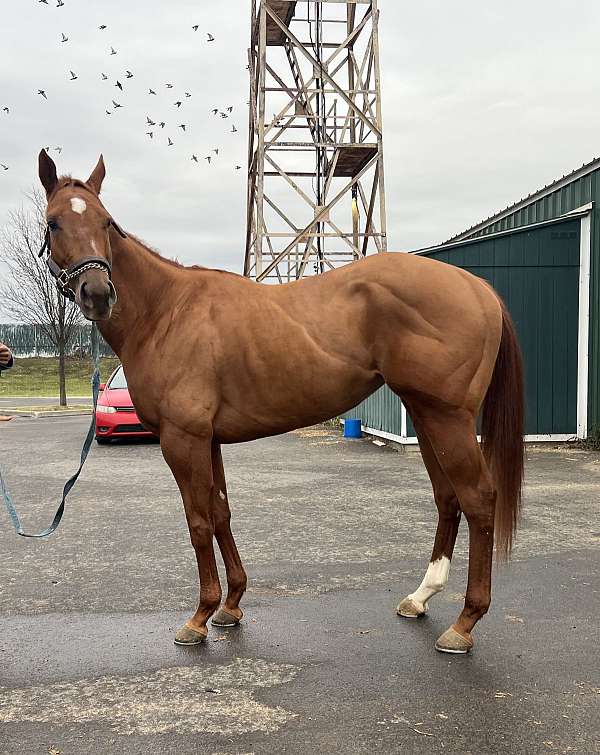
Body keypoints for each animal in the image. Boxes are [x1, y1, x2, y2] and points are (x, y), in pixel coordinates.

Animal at [38, 151, 524, 652]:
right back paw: (420, 597)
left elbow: (198, 521)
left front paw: (200, 615)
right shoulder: (208, 441)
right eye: (54, 223)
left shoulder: (182, 440)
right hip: (428, 416)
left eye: (106, 221)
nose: (98, 294)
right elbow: (220, 513)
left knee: (479, 498)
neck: (166, 312)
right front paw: (231, 605)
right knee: (448, 497)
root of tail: (477, 287)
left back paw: (465, 623)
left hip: (447, 418)